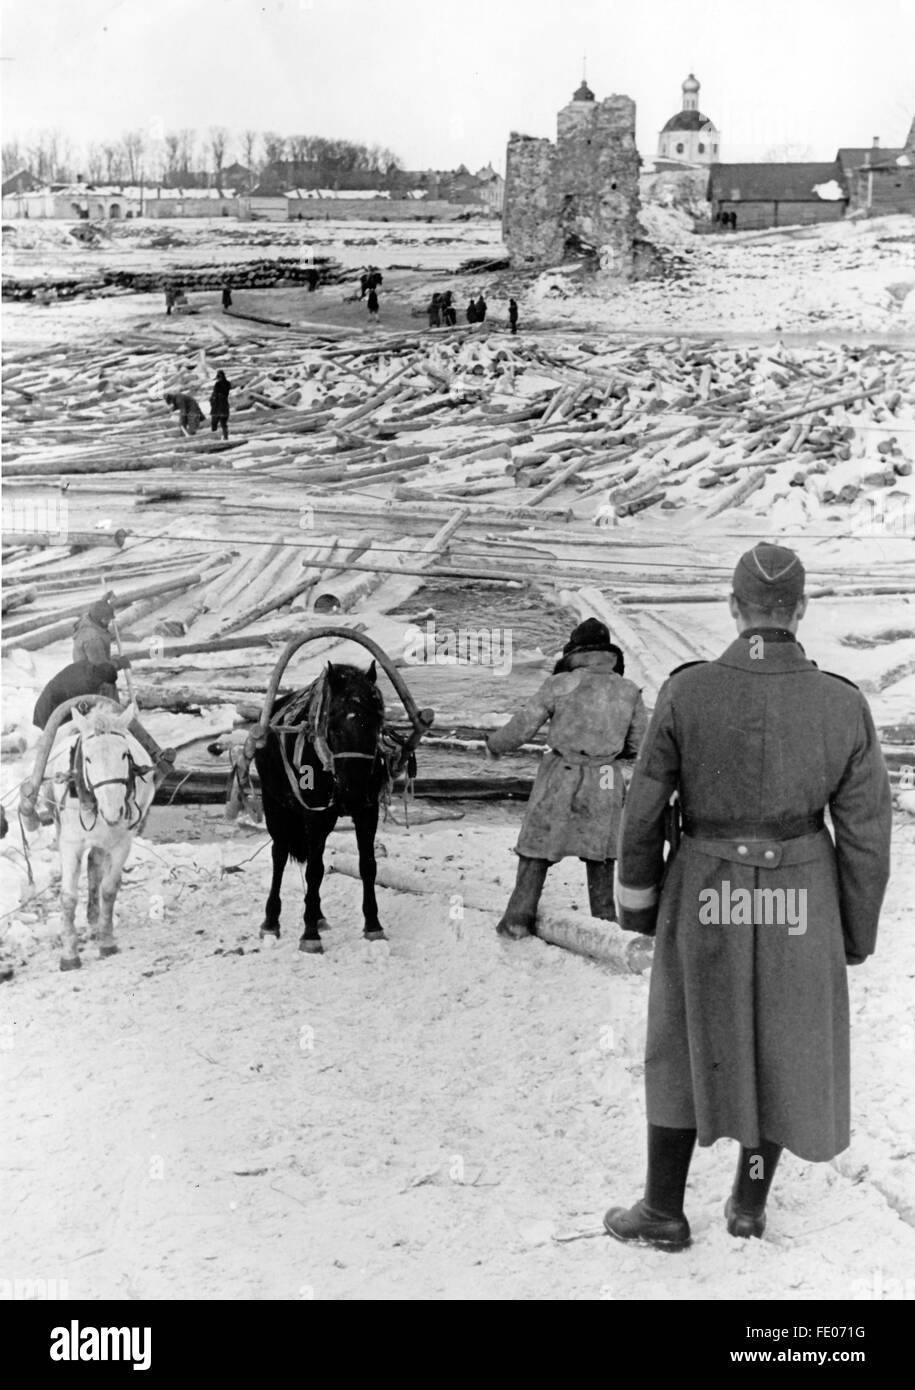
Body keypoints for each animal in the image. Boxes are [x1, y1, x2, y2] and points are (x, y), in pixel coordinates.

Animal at [53, 700, 155, 973]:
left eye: (124, 755)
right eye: (87, 758)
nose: (113, 812)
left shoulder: (122, 842)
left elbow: (109, 889)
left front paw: (107, 940)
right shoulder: (70, 844)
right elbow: (68, 898)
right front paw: (69, 954)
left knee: (96, 868)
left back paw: (95, 922)